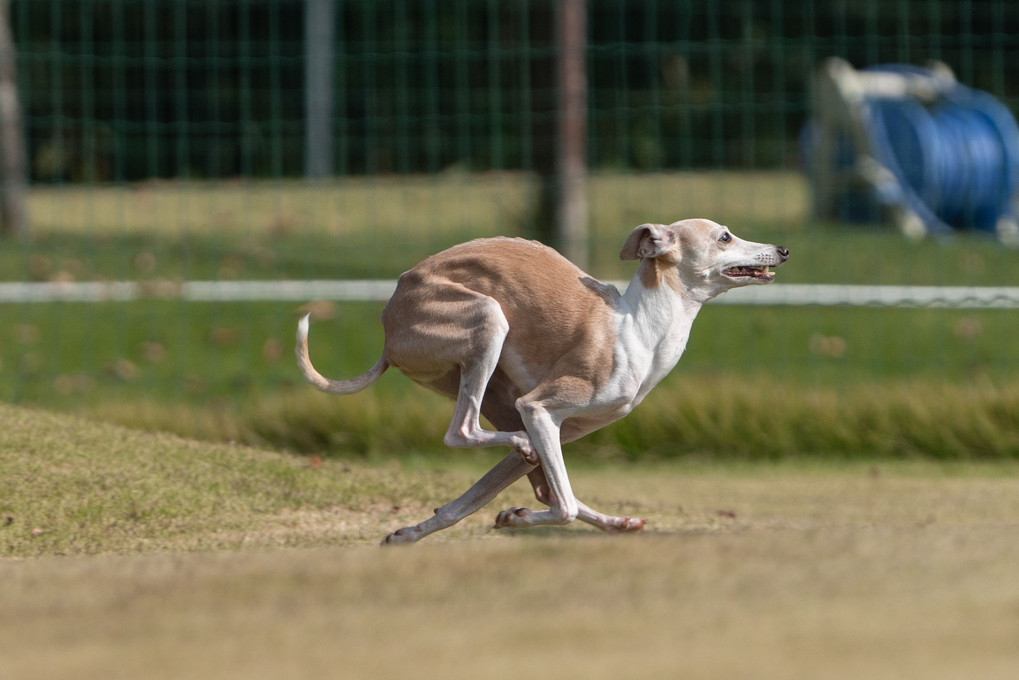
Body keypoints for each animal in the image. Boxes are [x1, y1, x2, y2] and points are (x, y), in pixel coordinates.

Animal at [295, 221, 786, 546]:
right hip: (487, 322)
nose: (781, 249)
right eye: (724, 237)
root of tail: (388, 327)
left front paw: (414, 531)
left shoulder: (557, 424)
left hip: (497, 392)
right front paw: (515, 518)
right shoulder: (540, 407)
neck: (639, 327)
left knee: (520, 468)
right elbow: (561, 505)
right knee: (464, 432)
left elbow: (472, 500)